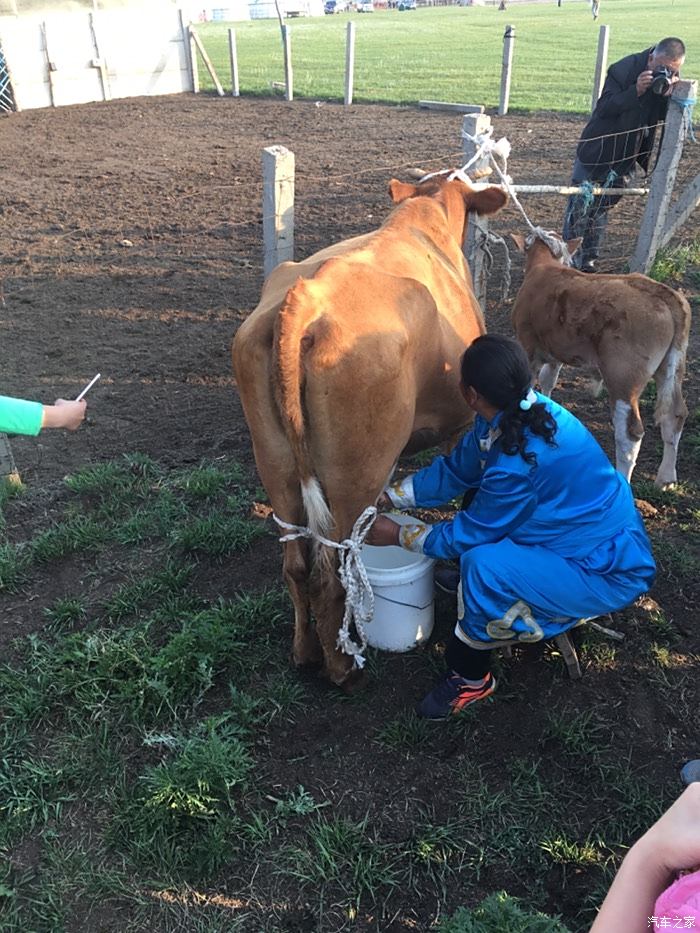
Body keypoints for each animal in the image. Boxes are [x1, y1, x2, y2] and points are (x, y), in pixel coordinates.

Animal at [232, 173, 506, 684]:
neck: (423, 221)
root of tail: (307, 297)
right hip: (353, 472)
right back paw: (343, 669)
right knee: (333, 571)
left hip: (274, 462)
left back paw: (304, 653)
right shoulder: (465, 424)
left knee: (297, 565)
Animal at [508, 230, 688, 488]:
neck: (545, 267)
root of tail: (664, 292)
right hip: (671, 368)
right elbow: (548, 381)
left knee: (630, 433)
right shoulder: (556, 351)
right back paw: (665, 478)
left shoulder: (529, 346)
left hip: (623, 378)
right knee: (675, 415)